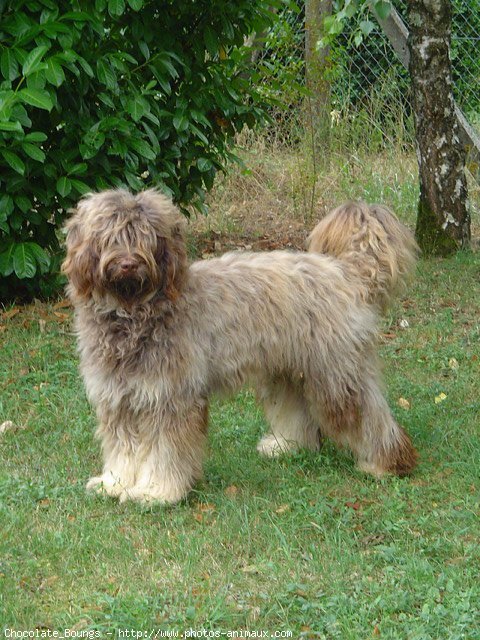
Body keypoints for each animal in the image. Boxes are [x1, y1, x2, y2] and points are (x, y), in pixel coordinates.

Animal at [62, 190, 416, 504]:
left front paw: (156, 492)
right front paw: (115, 483)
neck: (135, 312)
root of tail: (344, 272)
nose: (127, 265)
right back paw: (288, 446)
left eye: (144, 238)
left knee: (366, 414)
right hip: (288, 370)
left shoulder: (169, 398)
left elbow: (165, 450)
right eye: (110, 238)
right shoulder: (118, 400)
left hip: (335, 375)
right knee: (296, 408)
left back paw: (386, 463)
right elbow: (123, 449)